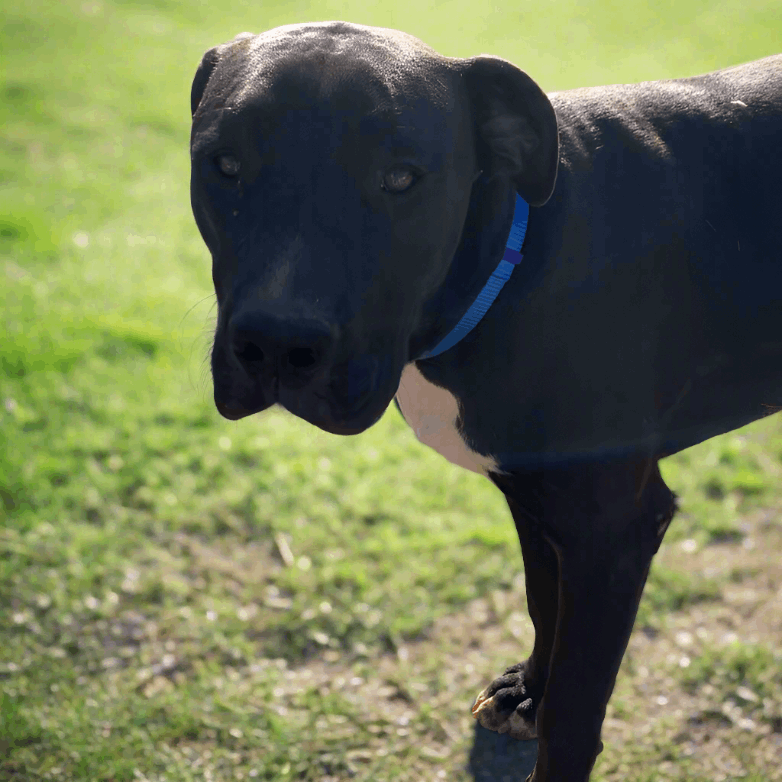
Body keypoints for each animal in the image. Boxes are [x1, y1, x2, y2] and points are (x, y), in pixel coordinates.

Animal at [190, 21, 782, 780]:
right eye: (225, 165)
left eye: (401, 178)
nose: (275, 343)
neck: (513, 262)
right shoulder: (535, 497)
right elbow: (542, 602)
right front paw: (529, 693)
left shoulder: (613, 532)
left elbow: (576, 713)